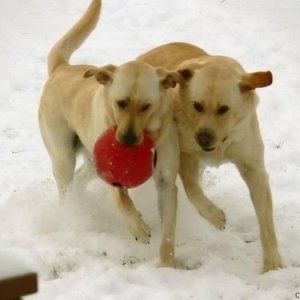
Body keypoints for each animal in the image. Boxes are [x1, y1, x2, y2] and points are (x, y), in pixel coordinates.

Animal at [38, 0, 183, 268]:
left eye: (146, 106)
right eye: (121, 103)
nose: (127, 140)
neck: (149, 134)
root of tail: (62, 68)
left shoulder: (167, 182)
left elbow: (168, 231)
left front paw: (167, 265)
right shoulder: (111, 174)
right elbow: (121, 199)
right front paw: (137, 227)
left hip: (91, 160)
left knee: (79, 179)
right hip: (63, 156)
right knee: (66, 187)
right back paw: (72, 215)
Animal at [138, 42, 284, 272]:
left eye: (223, 109)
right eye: (197, 105)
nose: (203, 139)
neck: (221, 144)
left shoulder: (253, 168)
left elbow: (266, 221)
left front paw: (272, 265)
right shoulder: (185, 155)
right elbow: (192, 190)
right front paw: (214, 215)